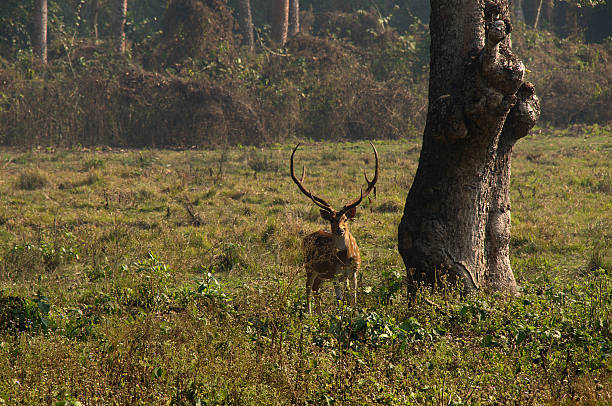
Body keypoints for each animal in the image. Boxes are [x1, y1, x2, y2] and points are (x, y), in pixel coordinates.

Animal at [288, 143, 378, 314]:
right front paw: (340, 317)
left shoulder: (354, 271)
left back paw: (319, 313)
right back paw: (310, 314)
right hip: (309, 265)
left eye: (345, 219)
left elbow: (353, 297)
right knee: (308, 287)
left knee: (316, 288)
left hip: (322, 274)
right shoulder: (336, 274)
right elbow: (339, 300)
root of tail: (306, 237)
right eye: (331, 219)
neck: (345, 258)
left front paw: (354, 314)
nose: (340, 230)